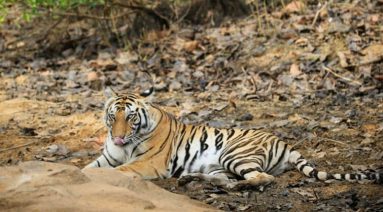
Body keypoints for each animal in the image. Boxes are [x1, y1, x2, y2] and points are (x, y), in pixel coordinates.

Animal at [84, 87, 383, 190]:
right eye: (113, 117)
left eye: (131, 117)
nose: (118, 137)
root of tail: (285, 142)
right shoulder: (107, 157)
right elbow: (87, 169)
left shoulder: (148, 163)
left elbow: (122, 170)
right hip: (217, 165)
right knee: (224, 179)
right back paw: (190, 179)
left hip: (234, 154)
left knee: (262, 178)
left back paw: (240, 188)